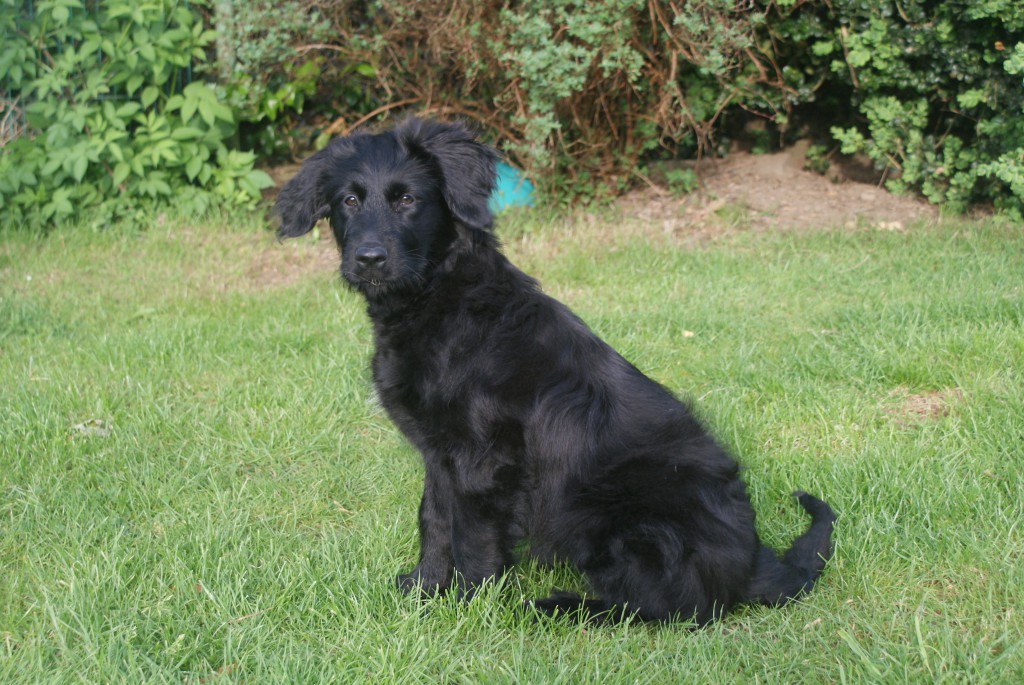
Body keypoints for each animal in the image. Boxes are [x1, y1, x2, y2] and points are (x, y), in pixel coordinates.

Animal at [275, 118, 836, 624]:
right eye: (348, 201)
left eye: (407, 199)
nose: (368, 259)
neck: (442, 298)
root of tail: (754, 563)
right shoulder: (439, 453)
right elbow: (433, 518)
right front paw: (425, 590)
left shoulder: (483, 459)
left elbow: (472, 538)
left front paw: (467, 608)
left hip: (620, 517)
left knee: (669, 606)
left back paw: (555, 607)